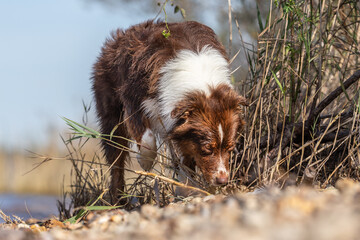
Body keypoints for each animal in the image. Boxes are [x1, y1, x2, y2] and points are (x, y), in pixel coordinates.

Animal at [91, 20, 246, 197]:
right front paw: (144, 161)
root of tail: (121, 34)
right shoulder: (133, 99)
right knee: (116, 156)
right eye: (207, 148)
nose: (222, 181)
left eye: (230, 148)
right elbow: (147, 137)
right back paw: (117, 196)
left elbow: (186, 157)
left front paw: (186, 187)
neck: (203, 86)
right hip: (110, 108)